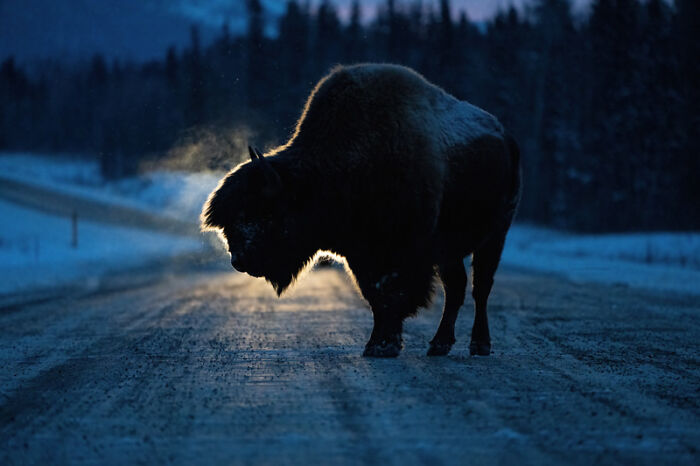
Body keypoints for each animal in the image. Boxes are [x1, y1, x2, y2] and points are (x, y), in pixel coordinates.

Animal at [201, 63, 520, 358]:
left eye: (262, 212)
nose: (239, 260)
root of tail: (505, 135)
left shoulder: (404, 254)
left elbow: (392, 294)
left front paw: (384, 345)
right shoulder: (362, 257)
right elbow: (375, 297)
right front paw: (377, 344)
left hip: (495, 236)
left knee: (481, 287)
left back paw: (479, 344)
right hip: (449, 251)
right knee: (456, 288)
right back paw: (439, 344)